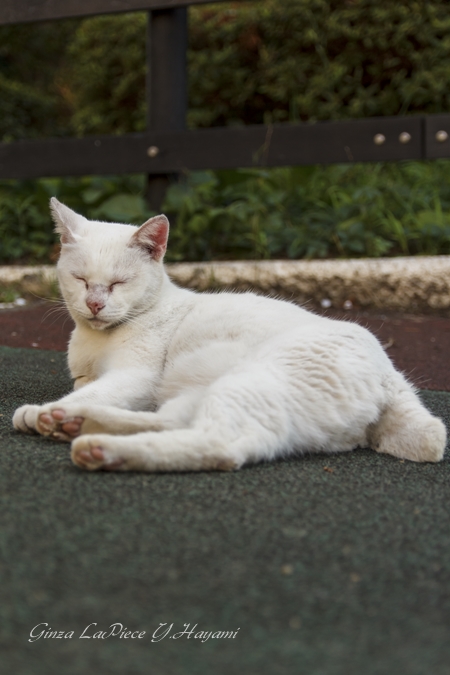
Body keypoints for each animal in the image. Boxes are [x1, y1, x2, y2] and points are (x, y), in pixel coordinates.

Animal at [12, 198, 448, 472]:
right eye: (81, 280)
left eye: (119, 283)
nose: (95, 304)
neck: (95, 340)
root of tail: (390, 375)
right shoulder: (93, 378)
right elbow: (88, 389)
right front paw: (60, 410)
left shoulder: (136, 377)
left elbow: (97, 389)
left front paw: (46, 410)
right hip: (200, 393)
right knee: (172, 423)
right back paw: (72, 422)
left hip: (249, 382)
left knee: (217, 446)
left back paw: (92, 443)